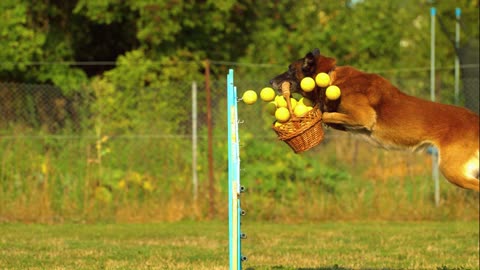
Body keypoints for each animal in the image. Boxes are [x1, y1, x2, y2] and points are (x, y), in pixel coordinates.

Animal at [272, 49, 478, 192]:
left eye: (290, 69)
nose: (270, 81)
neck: (330, 75)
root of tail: (475, 119)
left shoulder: (364, 117)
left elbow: (324, 114)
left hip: (451, 169)